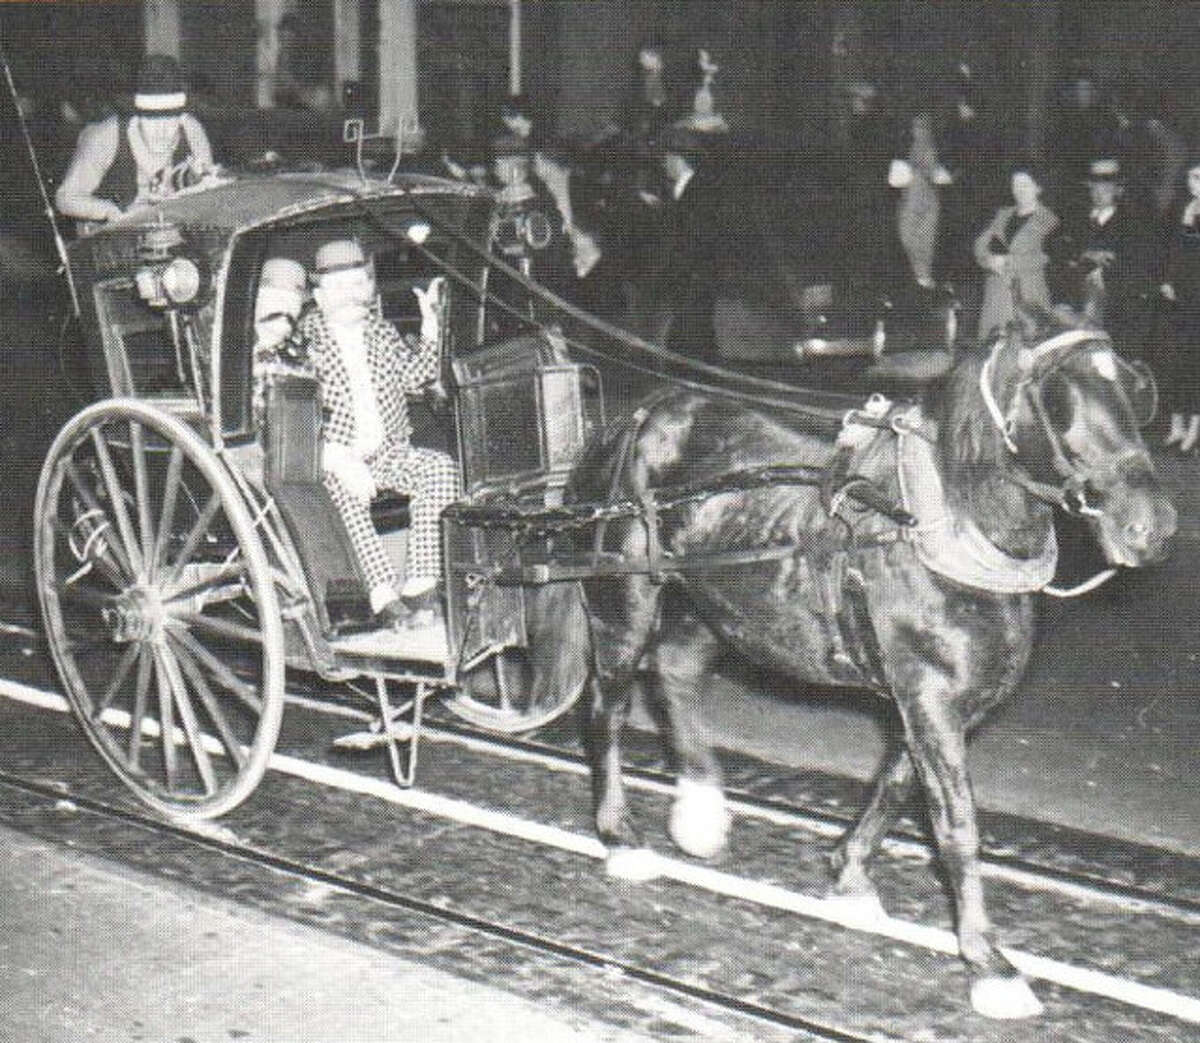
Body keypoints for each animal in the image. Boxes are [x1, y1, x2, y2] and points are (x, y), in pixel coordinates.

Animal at [542, 319, 1171, 1017]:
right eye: (1058, 409)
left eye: (1137, 397)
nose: (1153, 527)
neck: (934, 527)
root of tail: (636, 417)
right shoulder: (929, 695)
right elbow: (956, 825)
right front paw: (990, 963)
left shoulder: (928, 698)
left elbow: (896, 783)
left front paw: (848, 876)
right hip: (623, 602)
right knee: (609, 711)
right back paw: (622, 838)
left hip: (719, 602)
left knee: (676, 672)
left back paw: (700, 807)